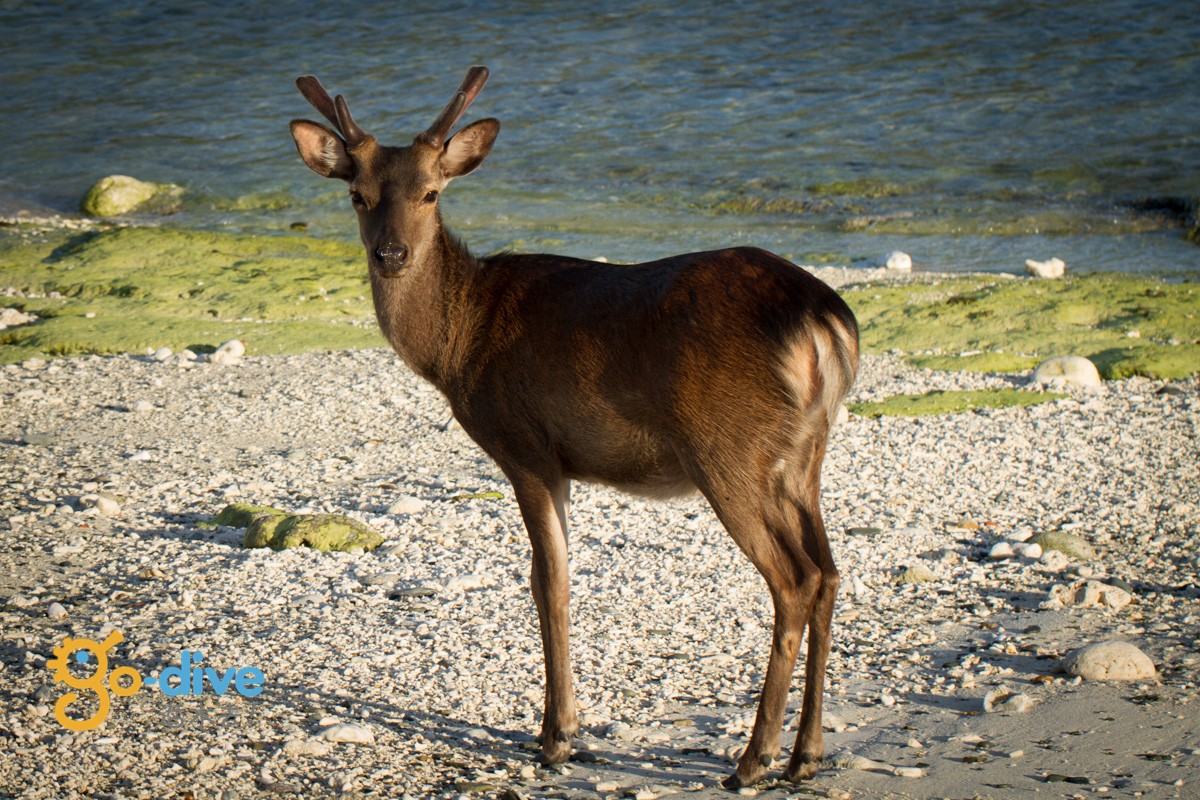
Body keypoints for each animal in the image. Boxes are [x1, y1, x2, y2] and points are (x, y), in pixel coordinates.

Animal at [286, 64, 859, 786]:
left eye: (431, 192)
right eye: (358, 195)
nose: (392, 254)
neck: (457, 345)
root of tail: (824, 322)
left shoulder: (526, 448)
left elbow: (547, 583)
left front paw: (555, 736)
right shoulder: (558, 463)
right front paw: (564, 725)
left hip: (728, 449)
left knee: (795, 578)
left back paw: (753, 759)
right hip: (803, 454)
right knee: (830, 571)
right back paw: (806, 753)